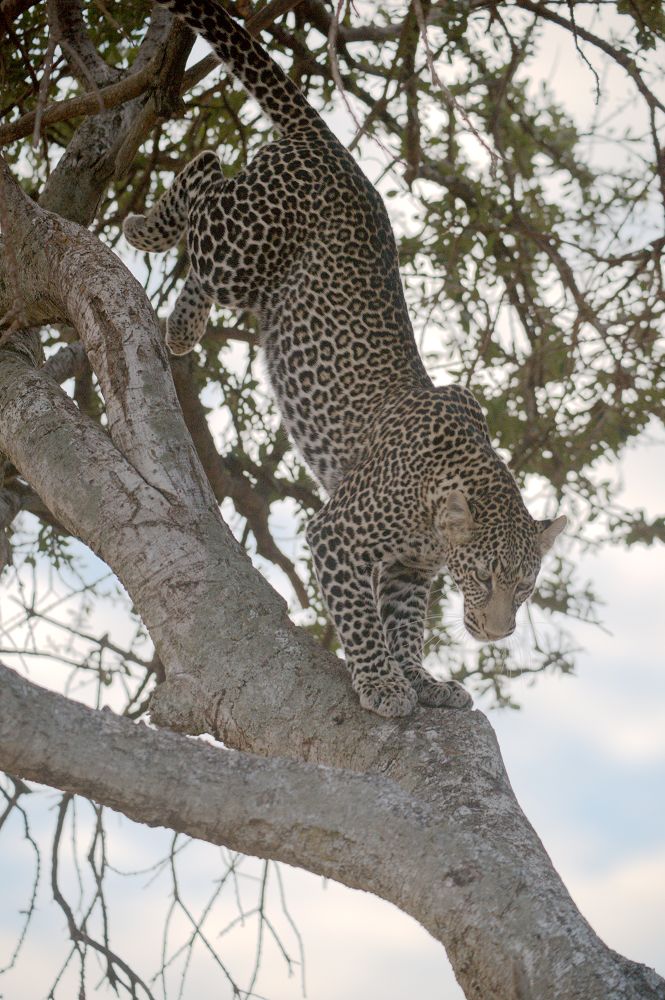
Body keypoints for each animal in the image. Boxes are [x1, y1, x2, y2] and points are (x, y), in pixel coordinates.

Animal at [122, 0, 564, 720]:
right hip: (241, 247)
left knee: (205, 218)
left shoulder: (410, 571)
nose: (497, 633)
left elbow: (404, 622)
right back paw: (145, 232)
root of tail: (335, 151)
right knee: (204, 175)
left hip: (251, 274)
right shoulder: (336, 533)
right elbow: (360, 617)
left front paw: (421, 678)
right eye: (484, 575)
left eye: (525, 587)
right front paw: (382, 683)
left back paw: (182, 323)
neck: (436, 517)